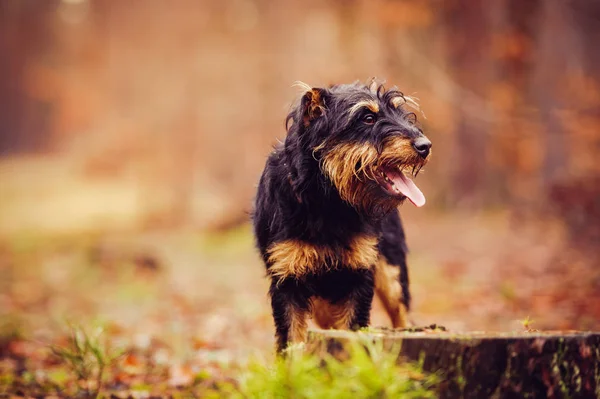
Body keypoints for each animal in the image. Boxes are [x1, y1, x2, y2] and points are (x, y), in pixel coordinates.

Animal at [253, 79, 432, 354]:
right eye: (367, 118)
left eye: (400, 112)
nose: (425, 145)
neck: (330, 202)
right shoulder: (287, 278)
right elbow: (292, 339)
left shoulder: (359, 276)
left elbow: (352, 331)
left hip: (391, 272)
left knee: (402, 314)